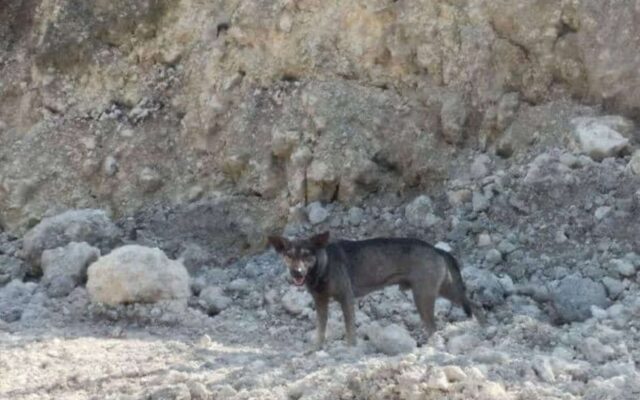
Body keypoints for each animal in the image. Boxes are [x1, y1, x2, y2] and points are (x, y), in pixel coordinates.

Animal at [266, 231, 476, 346]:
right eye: (289, 255)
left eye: (306, 255)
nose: (297, 273)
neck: (322, 266)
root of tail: (436, 249)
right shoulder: (320, 302)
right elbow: (320, 329)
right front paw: (316, 348)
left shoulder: (346, 298)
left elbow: (350, 329)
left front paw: (351, 348)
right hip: (444, 290)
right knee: (475, 305)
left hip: (424, 296)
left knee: (434, 326)